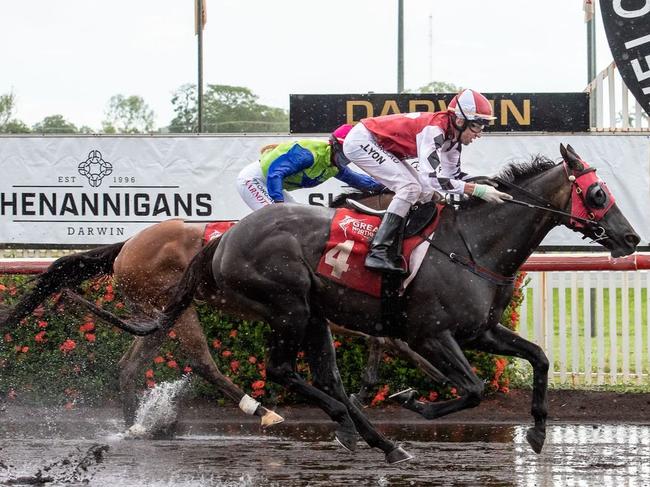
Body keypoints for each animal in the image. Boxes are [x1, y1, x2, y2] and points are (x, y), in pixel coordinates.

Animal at [123, 145, 636, 466]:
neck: (473, 245)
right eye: (598, 193)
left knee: (323, 375)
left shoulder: (479, 330)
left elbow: (539, 357)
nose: (630, 237)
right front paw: (412, 401)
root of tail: (223, 239)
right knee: (280, 370)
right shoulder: (429, 333)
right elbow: (472, 388)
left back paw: (373, 438)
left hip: (312, 313)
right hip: (288, 305)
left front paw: (537, 432)